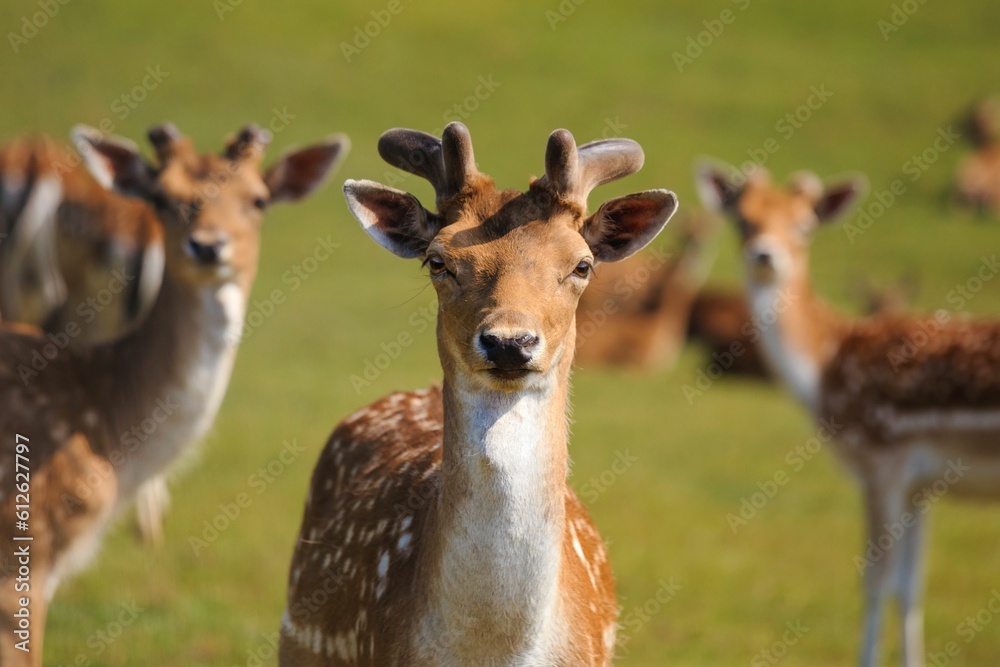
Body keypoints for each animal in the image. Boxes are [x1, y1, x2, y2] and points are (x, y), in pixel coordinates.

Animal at [696, 162, 1000, 667]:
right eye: (741, 218)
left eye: (805, 224)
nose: (765, 255)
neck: (826, 367)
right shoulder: (921, 483)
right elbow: (911, 587)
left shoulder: (881, 455)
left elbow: (876, 581)